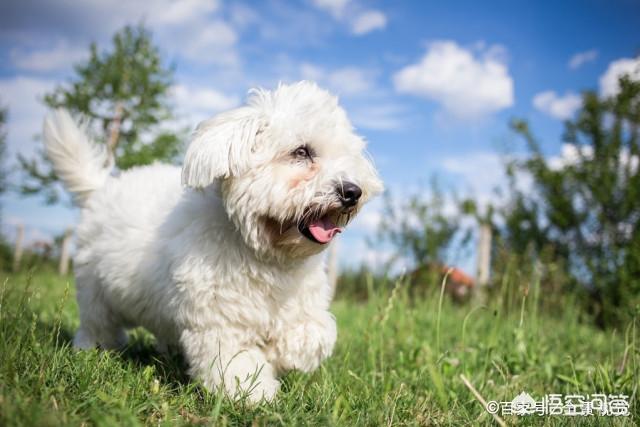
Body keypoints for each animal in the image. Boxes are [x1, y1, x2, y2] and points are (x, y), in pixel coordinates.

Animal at [46, 82, 384, 402]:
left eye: (347, 157)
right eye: (301, 152)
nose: (352, 191)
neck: (266, 253)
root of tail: (102, 188)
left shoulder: (303, 304)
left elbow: (315, 334)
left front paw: (283, 352)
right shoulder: (219, 321)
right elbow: (236, 363)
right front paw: (254, 394)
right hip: (95, 291)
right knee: (97, 324)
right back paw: (92, 350)